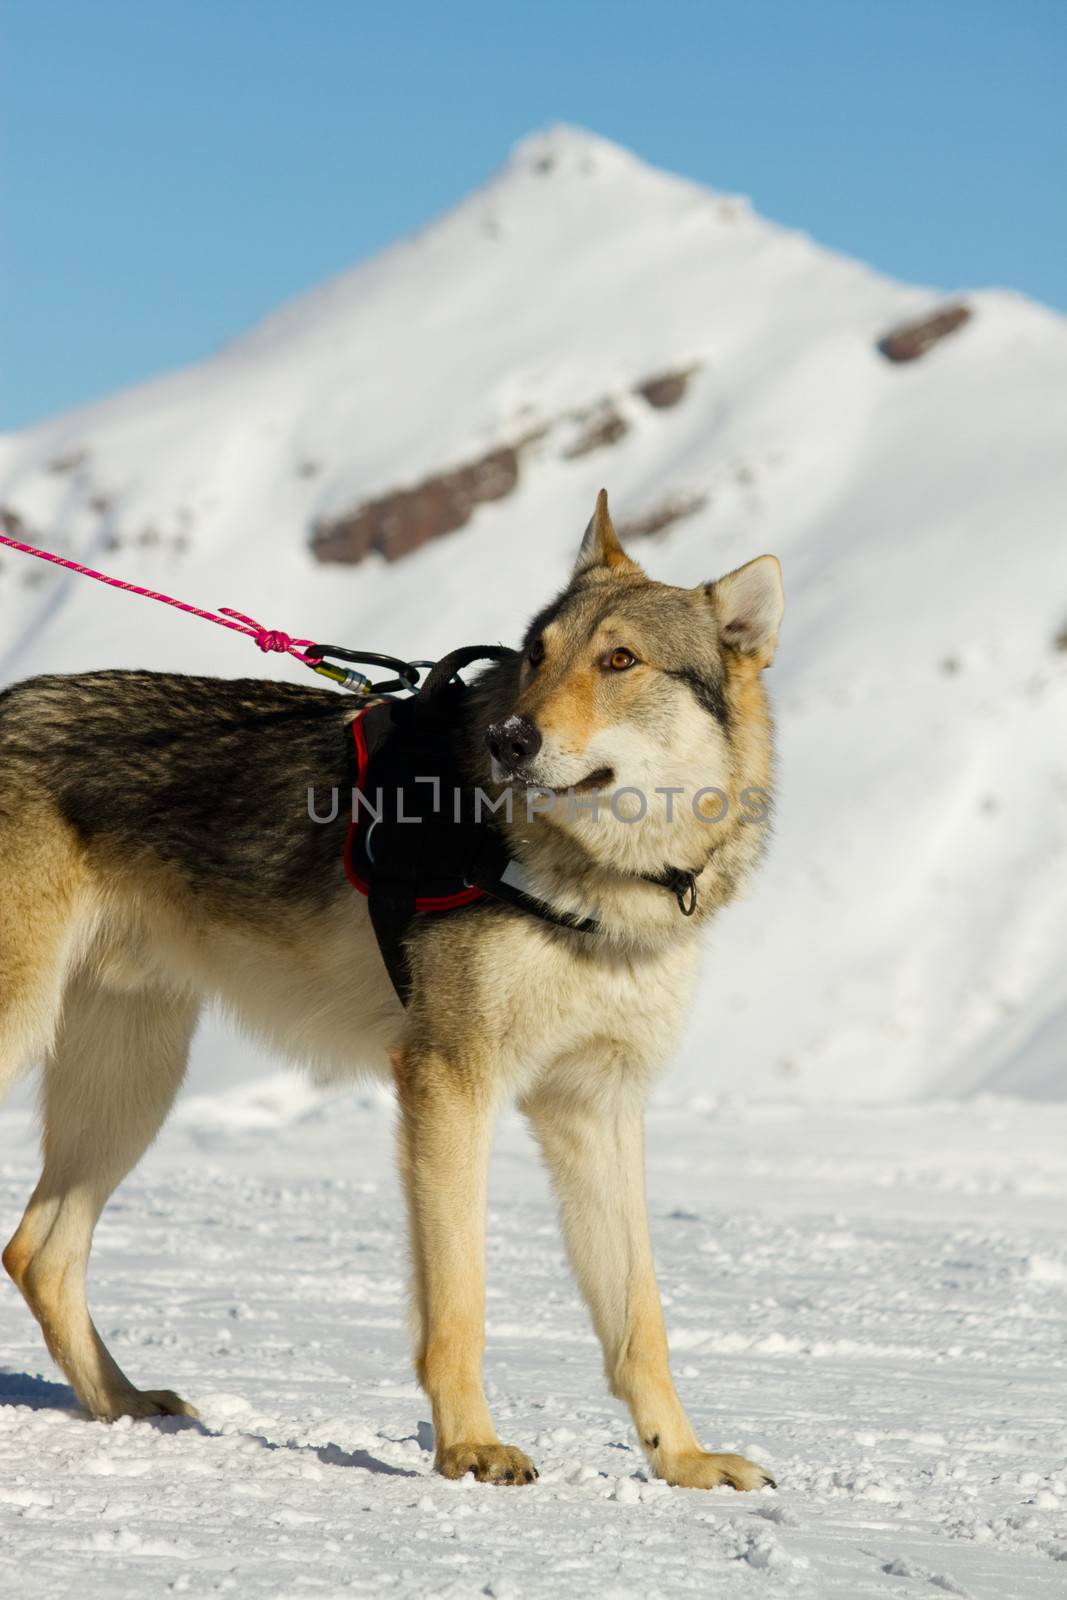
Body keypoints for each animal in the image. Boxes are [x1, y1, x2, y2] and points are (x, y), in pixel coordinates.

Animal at [0, 486, 783, 1484]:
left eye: (619, 660)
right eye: (537, 653)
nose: (509, 737)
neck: (595, 885)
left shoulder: (598, 1107)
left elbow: (641, 1321)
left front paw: (682, 1462)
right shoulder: (449, 1083)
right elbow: (459, 1303)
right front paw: (471, 1448)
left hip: (135, 1084)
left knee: (39, 1251)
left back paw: (127, 1404)